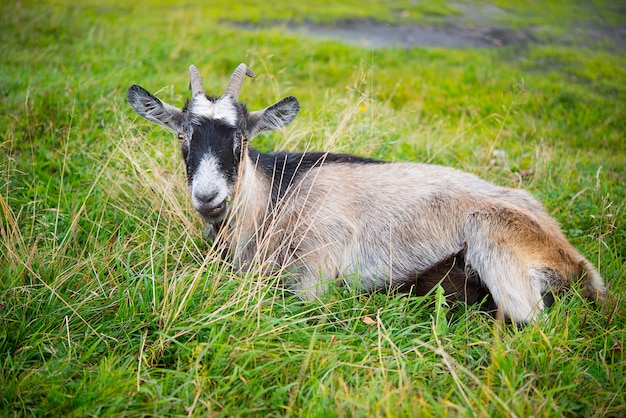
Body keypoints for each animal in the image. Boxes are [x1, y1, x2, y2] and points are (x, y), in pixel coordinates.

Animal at [127, 62, 604, 324]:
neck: (275, 197)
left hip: (494, 240)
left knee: (528, 324)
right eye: (182, 137)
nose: (209, 198)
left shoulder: (316, 268)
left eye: (242, 138)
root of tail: (572, 258)